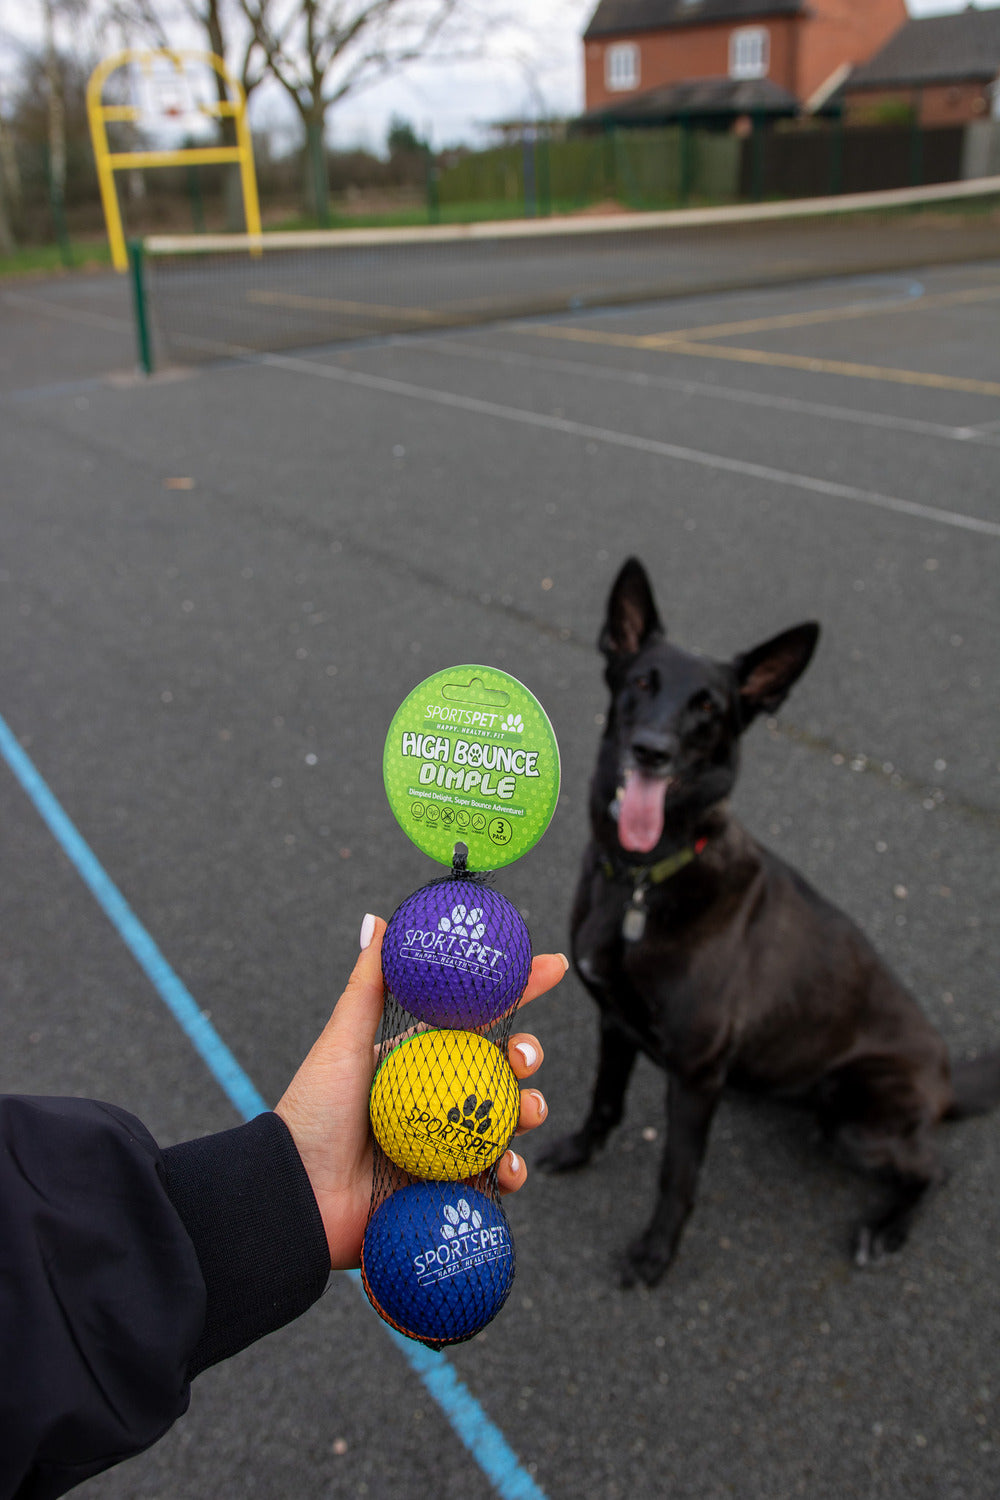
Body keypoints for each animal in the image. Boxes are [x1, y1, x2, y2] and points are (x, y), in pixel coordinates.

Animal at [542, 558, 995, 1284]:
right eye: (641, 682)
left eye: (709, 709)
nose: (651, 751)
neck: (643, 879)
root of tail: (947, 1079)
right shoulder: (613, 1022)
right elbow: (604, 1101)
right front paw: (580, 1151)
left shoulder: (696, 1076)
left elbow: (677, 1174)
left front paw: (656, 1254)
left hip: (851, 1111)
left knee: (936, 1168)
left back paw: (888, 1228)